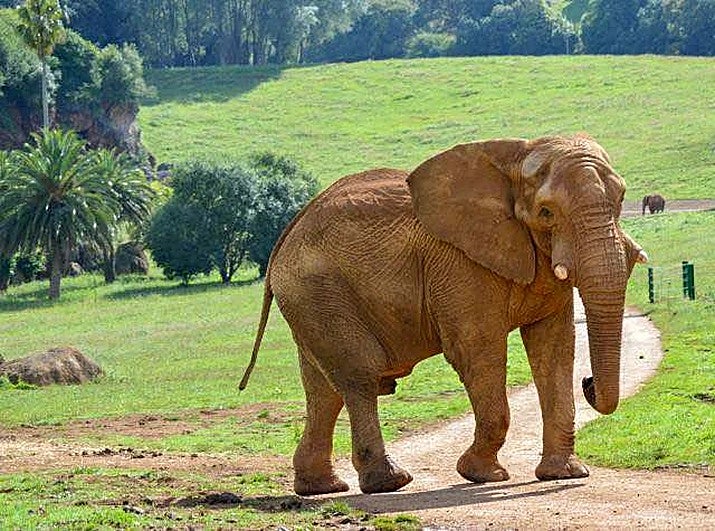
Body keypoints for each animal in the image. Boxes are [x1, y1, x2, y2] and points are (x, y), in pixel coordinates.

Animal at [240, 134, 648, 496]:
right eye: (546, 212)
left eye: (620, 199)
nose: (589, 383)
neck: (515, 158)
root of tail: (287, 233)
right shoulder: (460, 265)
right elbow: (477, 349)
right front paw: (481, 476)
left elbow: (554, 348)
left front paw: (564, 474)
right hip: (319, 291)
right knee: (358, 377)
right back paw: (389, 482)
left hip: (311, 300)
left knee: (323, 390)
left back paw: (321, 488)